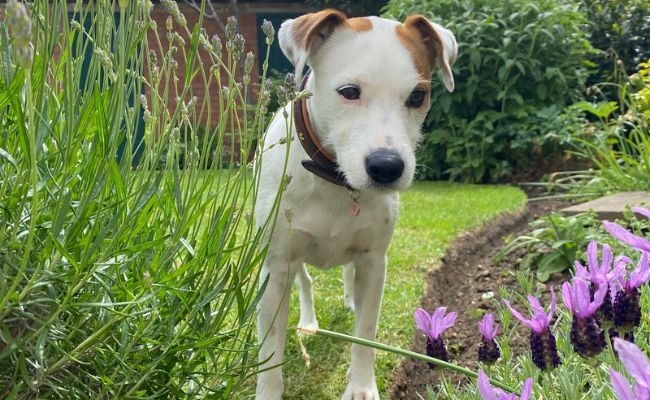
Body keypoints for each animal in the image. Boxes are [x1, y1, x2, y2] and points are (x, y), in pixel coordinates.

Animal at [253, 9, 456, 400]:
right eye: (349, 92)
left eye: (418, 96)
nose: (387, 167)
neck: (334, 178)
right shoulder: (276, 265)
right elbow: (270, 350)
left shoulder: (374, 262)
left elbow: (366, 332)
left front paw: (361, 384)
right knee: (305, 282)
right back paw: (308, 320)